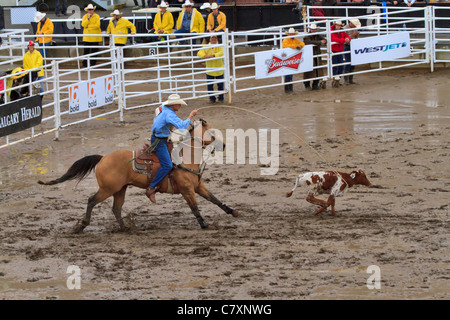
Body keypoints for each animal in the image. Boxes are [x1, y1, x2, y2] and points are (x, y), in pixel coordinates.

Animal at [37, 119, 239, 232]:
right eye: (211, 132)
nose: (224, 145)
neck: (185, 158)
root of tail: (103, 158)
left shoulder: (197, 186)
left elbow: (214, 198)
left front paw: (232, 211)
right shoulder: (187, 189)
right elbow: (195, 207)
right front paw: (204, 224)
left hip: (120, 189)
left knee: (116, 209)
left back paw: (126, 228)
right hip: (107, 189)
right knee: (91, 200)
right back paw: (83, 225)